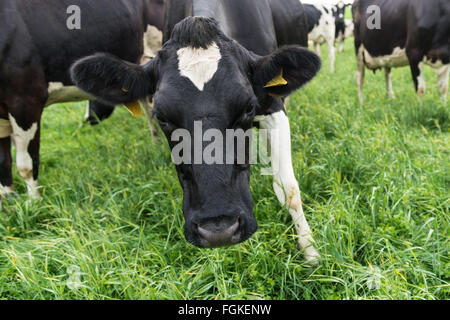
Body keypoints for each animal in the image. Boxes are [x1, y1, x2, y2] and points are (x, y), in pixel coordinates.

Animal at [0, 0, 165, 199]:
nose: (88, 118)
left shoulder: (25, 100)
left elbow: (27, 166)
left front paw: (35, 203)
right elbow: (3, 163)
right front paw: (9, 200)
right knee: (148, 105)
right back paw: (156, 145)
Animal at [71, 0, 324, 264]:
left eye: (248, 107)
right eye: (161, 117)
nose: (219, 230)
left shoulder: (273, 106)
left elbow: (289, 189)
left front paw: (310, 251)